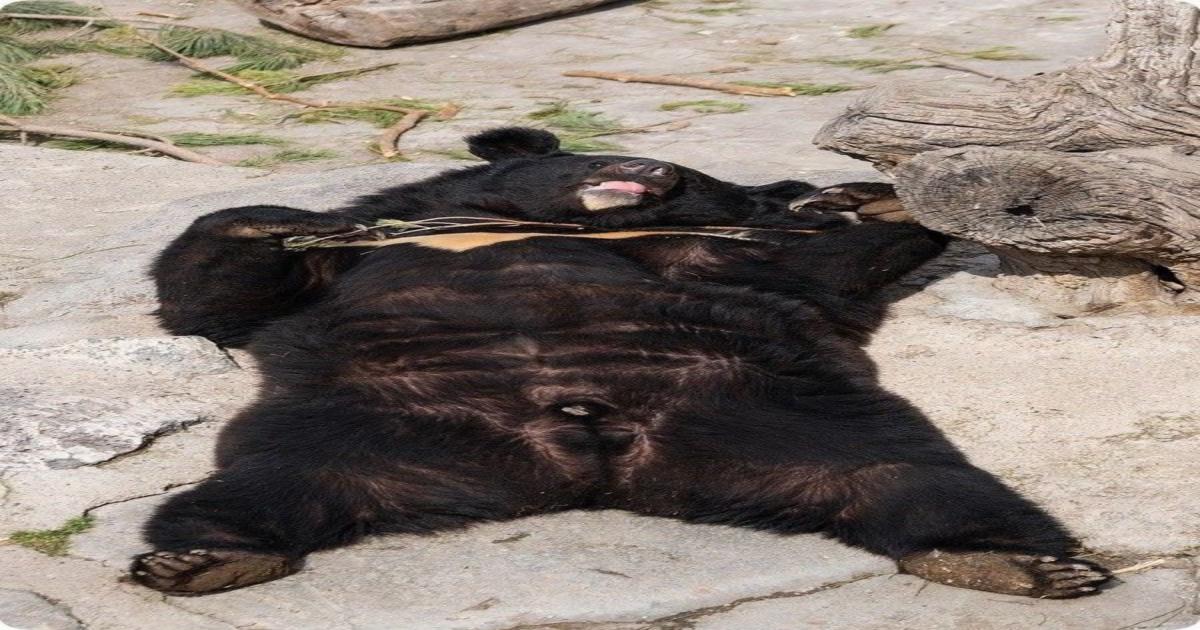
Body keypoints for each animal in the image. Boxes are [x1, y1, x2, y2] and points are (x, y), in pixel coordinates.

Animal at [131, 127, 1110, 598]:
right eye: (599, 153)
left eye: (689, 178)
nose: (649, 170)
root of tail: (586, 464)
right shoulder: (393, 245)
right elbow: (213, 298)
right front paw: (281, 221)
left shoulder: (715, 261)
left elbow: (821, 265)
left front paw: (872, 193)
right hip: (354, 419)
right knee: (261, 489)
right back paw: (204, 558)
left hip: (774, 407)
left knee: (910, 478)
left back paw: (1015, 563)